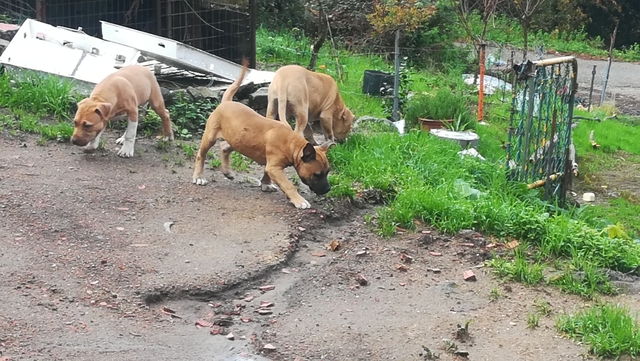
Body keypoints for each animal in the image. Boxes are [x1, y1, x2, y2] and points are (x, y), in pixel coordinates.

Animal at [192, 59, 336, 208]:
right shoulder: (274, 168)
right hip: (210, 137)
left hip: (238, 140)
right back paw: (199, 177)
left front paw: (266, 184)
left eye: (328, 172)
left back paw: (227, 172)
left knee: (224, 147)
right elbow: (289, 185)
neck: (292, 143)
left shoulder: (270, 165)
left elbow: (266, 172)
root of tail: (226, 102)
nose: (328, 189)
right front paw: (299, 201)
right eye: (317, 174)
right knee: (201, 155)